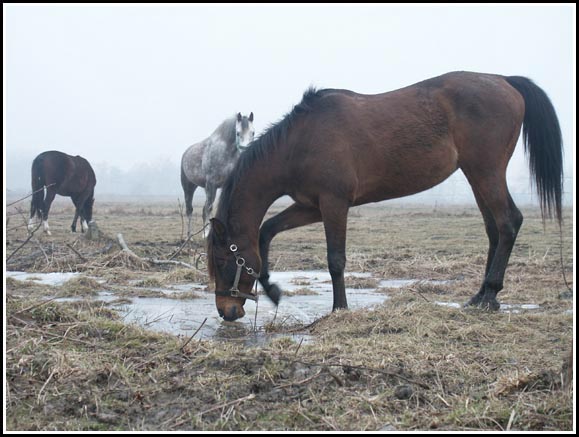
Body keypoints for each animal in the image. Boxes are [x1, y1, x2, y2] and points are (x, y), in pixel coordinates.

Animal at [207, 70, 560, 320]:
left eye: (225, 261)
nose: (226, 312)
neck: (300, 143)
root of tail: (503, 81)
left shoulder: (334, 203)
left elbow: (335, 259)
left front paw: (339, 309)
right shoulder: (311, 206)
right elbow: (267, 231)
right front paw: (274, 290)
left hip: (486, 172)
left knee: (508, 222)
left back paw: (489, 295)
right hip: (477, 176)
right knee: (494, 230)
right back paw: (482, 296)